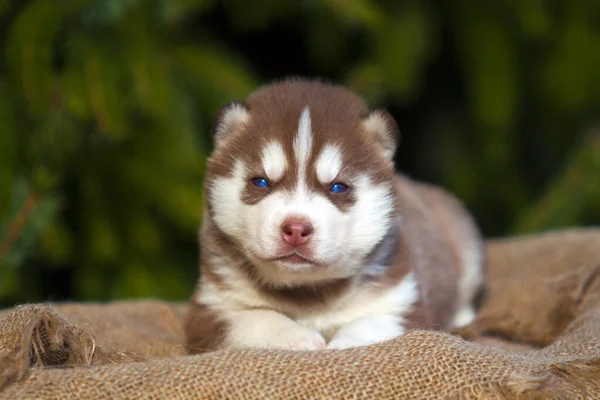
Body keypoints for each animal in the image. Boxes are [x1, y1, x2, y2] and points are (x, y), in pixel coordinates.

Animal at [184, 76, 488, 352]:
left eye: (338, 187)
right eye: (260, 182)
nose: (296, 229)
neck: (307, 292)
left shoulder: (403, 303)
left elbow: (369, 325)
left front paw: (342, 345)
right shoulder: (211, 308)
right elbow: (254, 319)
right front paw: (297, 337)